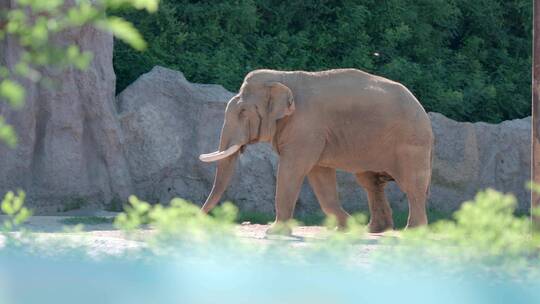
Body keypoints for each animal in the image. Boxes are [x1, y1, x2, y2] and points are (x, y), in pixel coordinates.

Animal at [199, 69, 434, 234]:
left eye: (243, 112)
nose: (197, 216)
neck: (282, 77)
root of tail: (420, 106)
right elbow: (320, 176)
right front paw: (346, 228)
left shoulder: (305, 128)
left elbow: (292, 170)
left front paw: (273, 232)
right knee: (370, 182)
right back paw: (374, 230)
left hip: (411, 142)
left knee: (412, 184)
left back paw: (412, 232)